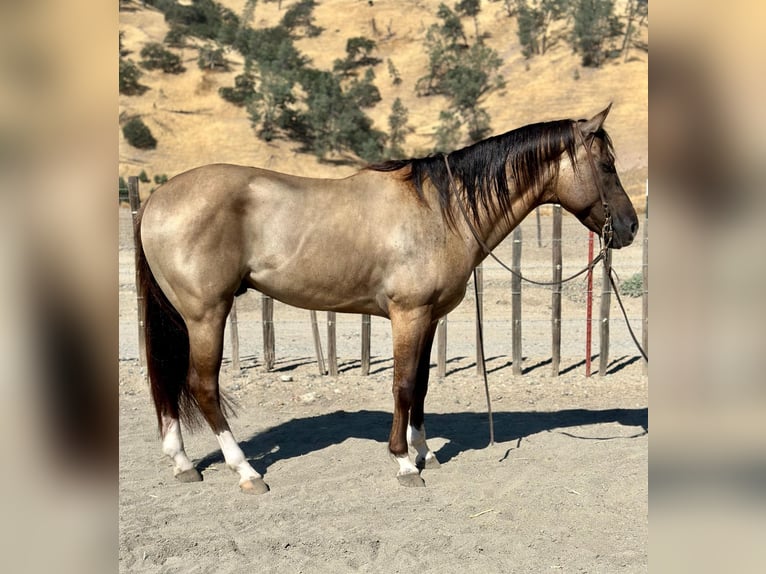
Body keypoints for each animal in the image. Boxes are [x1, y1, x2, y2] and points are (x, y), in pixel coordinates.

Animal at [135, 104, 640, 496]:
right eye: (607, 166)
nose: (631, 227)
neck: (443, 209)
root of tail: (157, 197)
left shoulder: (430, 317)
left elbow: (421, 386)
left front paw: (425, 452)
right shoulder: (407, 315)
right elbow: (401, 385)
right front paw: (402, 462)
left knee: (167, 380)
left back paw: (183, 463)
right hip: (206, 314)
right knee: (202, 386)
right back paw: (245, 471)